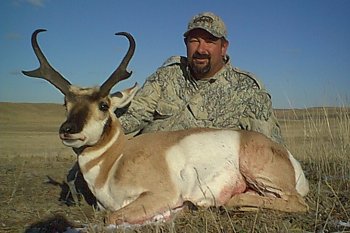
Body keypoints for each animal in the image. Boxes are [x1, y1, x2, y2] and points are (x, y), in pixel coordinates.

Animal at [22, 29, 308, 226]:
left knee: (296, 203)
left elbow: (110, 218)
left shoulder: (158, 196)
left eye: (103, 105)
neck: (115, 159)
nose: (68, 130)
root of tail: (286, 155)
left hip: (258, 173)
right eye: (66, 103)